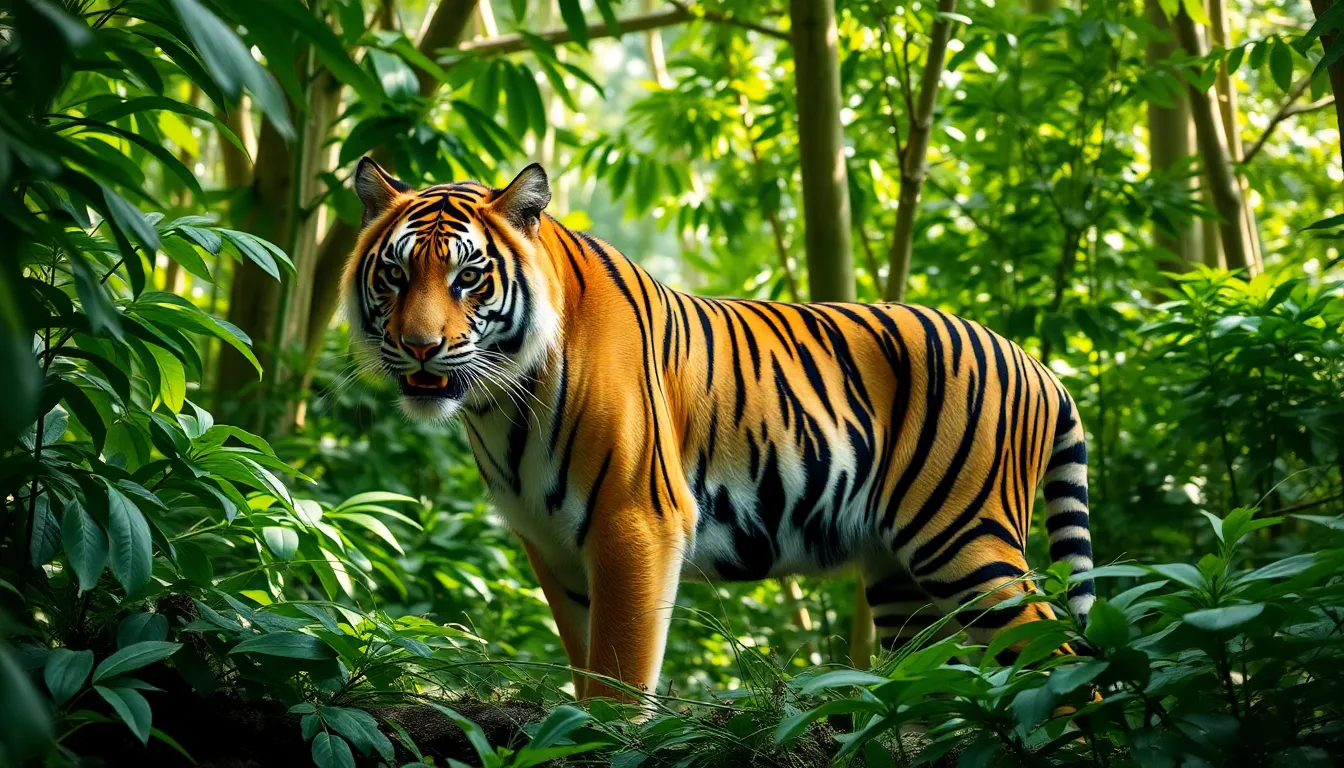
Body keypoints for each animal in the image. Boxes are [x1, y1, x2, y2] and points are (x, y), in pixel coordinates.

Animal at [342, 157, 1096, 700]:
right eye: (395, 275)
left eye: (469, 277)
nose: (419, 348)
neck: (502, 408)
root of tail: (1039, 365)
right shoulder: (552, 545)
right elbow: (584, 660)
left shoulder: (634, 521)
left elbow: (617, 675)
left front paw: (602, 737)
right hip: (900, 580)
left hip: (965, 541)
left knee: (1059, 659)